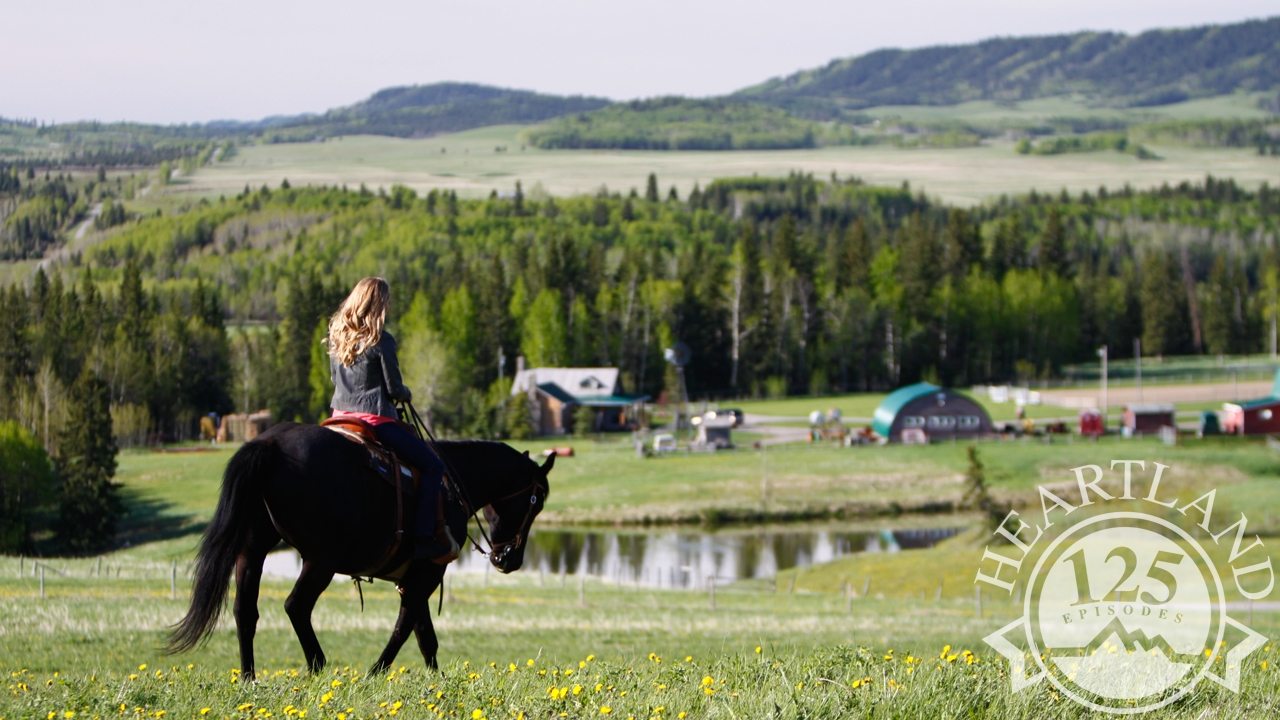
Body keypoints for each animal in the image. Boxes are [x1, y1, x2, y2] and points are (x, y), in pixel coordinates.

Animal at [162, 417, 547, 676]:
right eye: (536, 501)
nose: (509, 559)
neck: (451, 482)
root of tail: (270, 445)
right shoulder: (428, 573)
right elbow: (406, 629)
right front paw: (375, 673)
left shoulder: (413, 577)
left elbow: (424, 635)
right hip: (320, 560)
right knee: (296, 606)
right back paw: (317, 665)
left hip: (253, 550)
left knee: (245, 610)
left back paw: (249, 677)